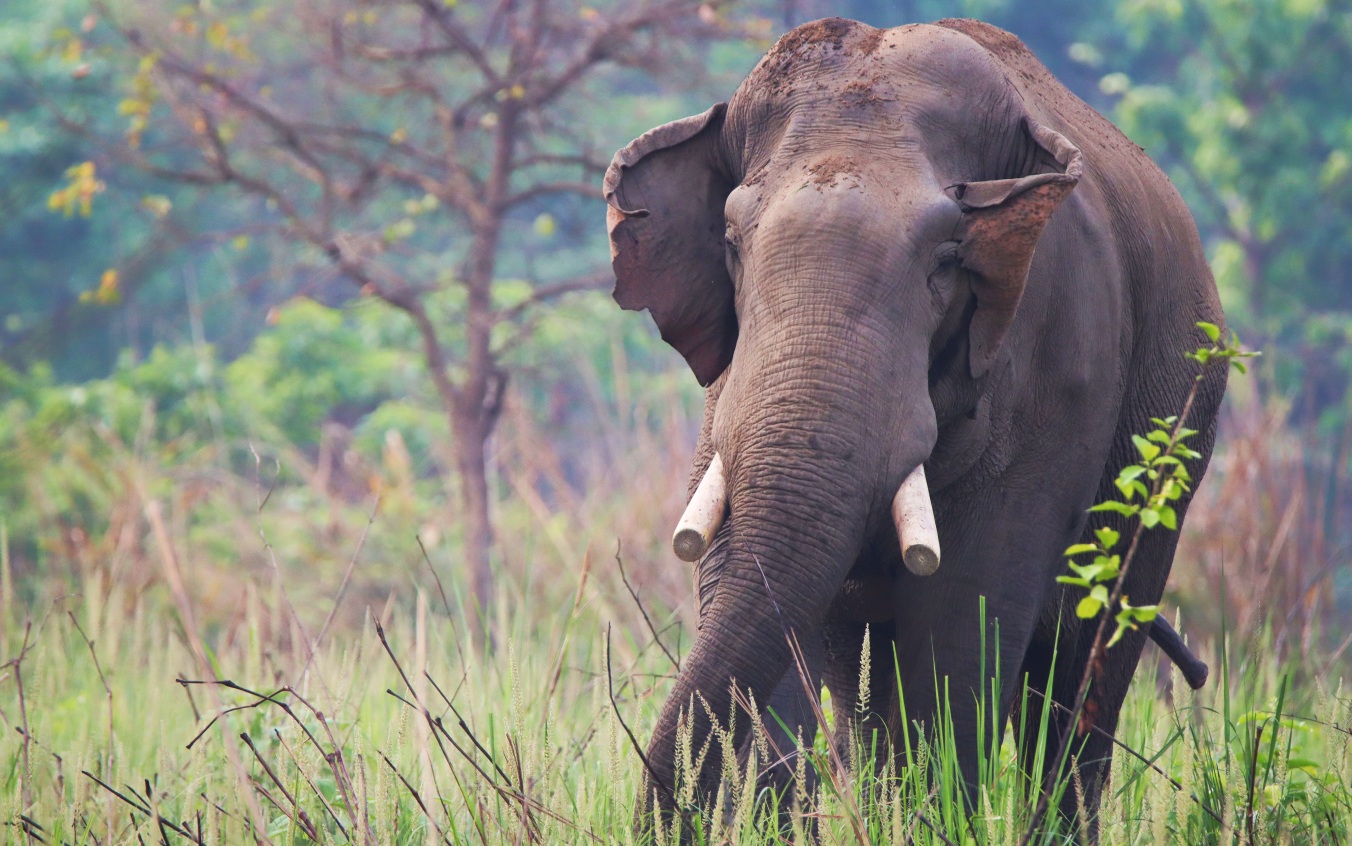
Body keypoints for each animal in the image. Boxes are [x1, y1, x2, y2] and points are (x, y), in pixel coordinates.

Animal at [605, 17, 1227, 834]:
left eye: (945, 259)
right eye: (733, 243)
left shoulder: (1061, 353)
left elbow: (967, 609)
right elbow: (748, 577)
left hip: (1171, 454)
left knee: (1081, 676)